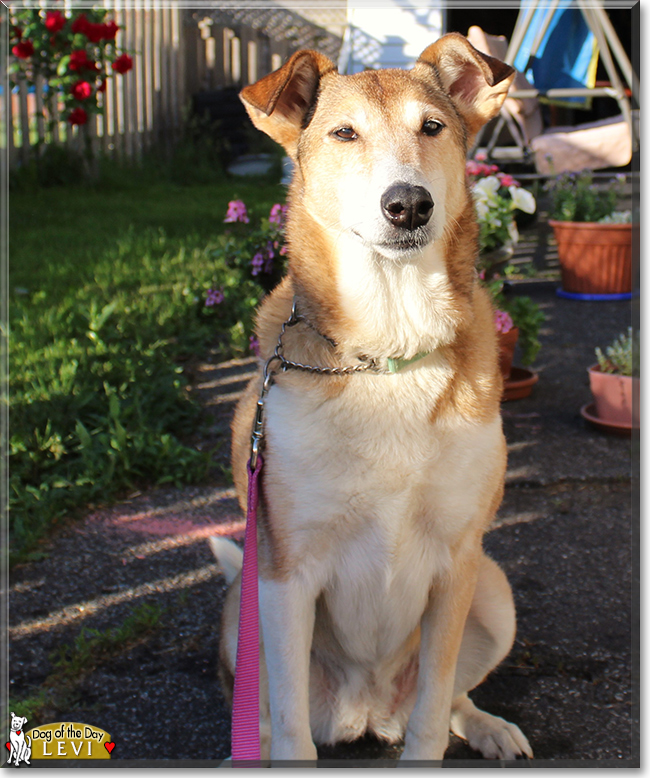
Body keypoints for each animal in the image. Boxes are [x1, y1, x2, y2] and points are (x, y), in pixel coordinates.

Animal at [213, 33, 532, 760]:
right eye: (344, 133)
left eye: (433, 127)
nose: (408, 204)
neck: (388, 352)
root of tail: (365, 711)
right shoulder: (285, 576)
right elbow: (291, 737)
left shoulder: (459, 560)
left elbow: (433, 712)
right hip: (242, 612)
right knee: (264, 722)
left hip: (495, 591)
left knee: (449, 701)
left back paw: (488, 728)